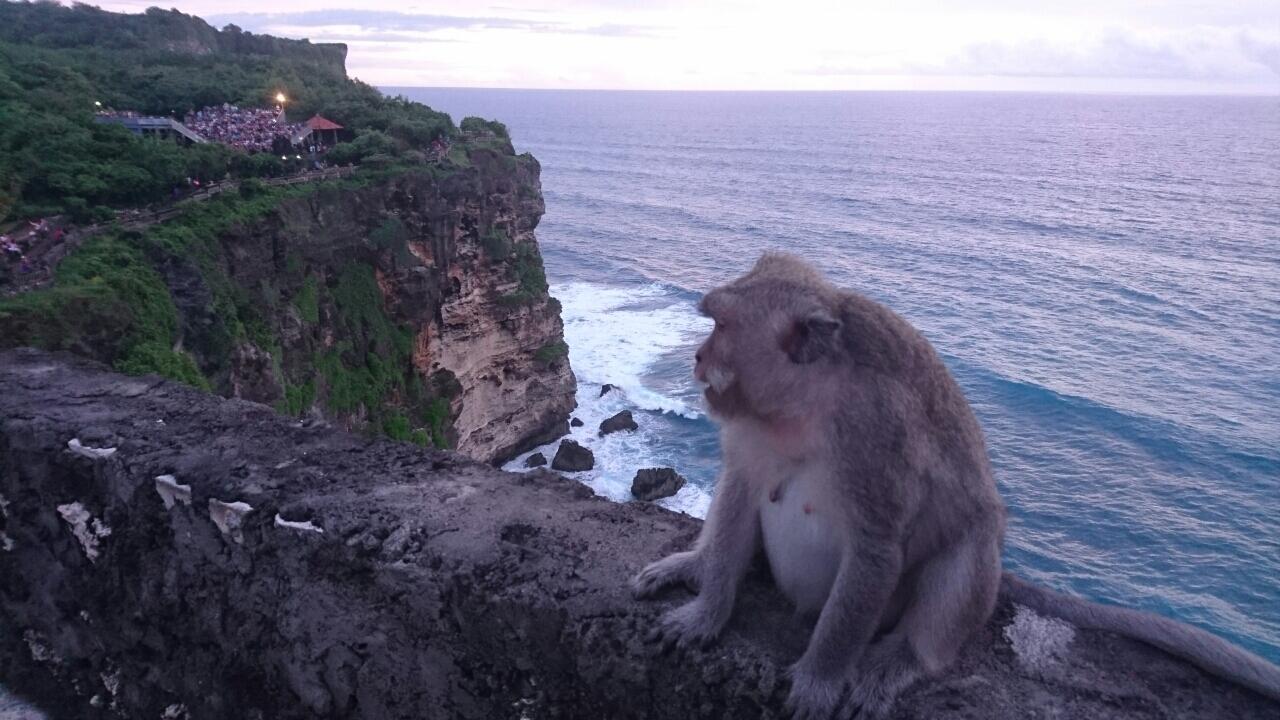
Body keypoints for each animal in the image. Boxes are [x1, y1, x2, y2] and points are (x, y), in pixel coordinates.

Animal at [632, 251, 1280, 712]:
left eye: (720, 324)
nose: (696, 356)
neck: (803, 405)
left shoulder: (879, 436)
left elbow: (877, 550)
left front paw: (819, 677)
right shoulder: (746, 426)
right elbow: (740, 490)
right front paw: (705, 612)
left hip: (956, 587)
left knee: (966, 551)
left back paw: (907, 657)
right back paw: (694, 563)